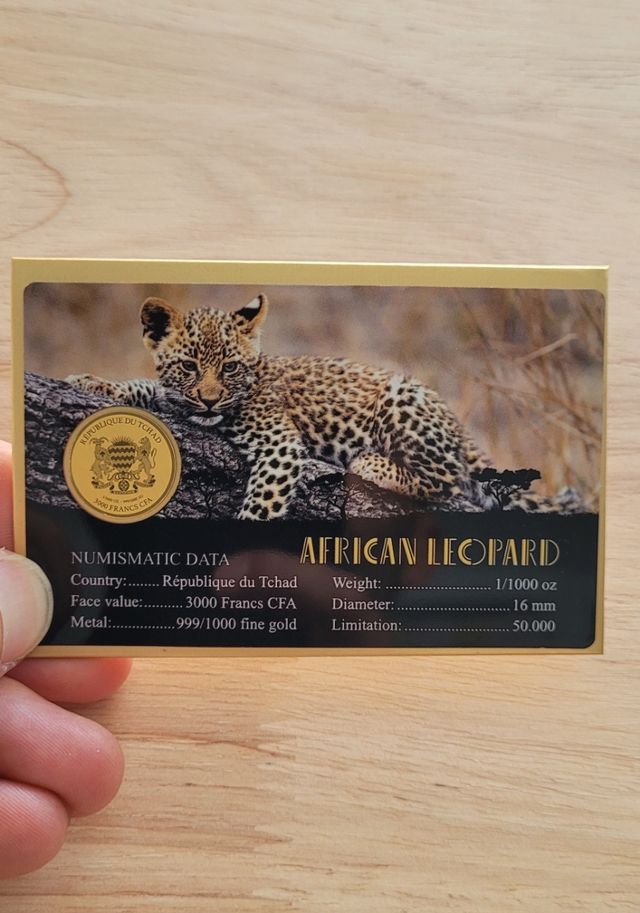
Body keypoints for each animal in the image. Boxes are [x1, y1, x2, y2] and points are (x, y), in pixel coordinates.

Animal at [66, 294, 578, 519]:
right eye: (189, 366)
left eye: (230, 367)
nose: (210, 399)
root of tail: (460, 429)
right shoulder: (176, 400)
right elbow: (146, 387)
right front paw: (91, 382)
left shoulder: (279, 448)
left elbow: (261, 508)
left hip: (402, 396)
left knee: (446, 479)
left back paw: (371, 463)